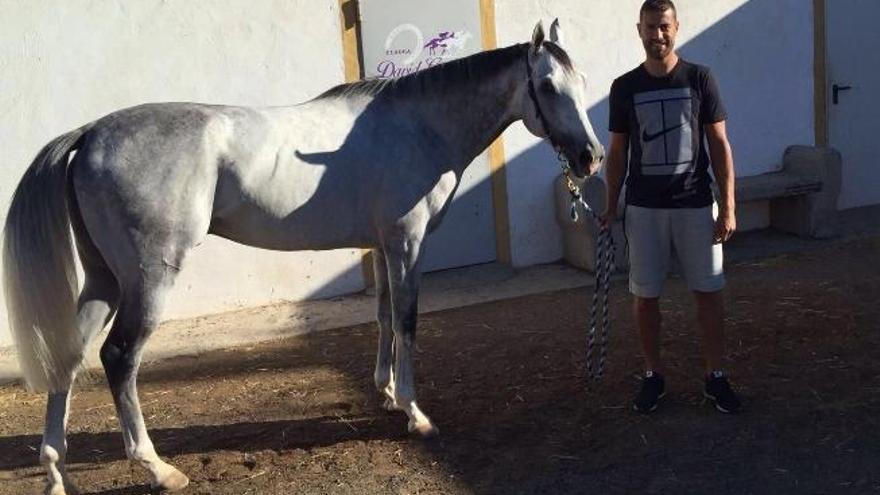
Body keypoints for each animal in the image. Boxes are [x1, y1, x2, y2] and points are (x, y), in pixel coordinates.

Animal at [1, 19, 604, 495]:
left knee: (68, 354)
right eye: (547, 85)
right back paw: (158, 468)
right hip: (148, 281)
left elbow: (383, 317)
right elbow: (407, 322)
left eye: (582, 83)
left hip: (104, 280)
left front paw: (387, 392)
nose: (591, 157)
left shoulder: (382, 246)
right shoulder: (407, 243)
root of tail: (90, 133)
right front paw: (415, 413)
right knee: (119, 358)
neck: (420, 124)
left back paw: (57, 471)